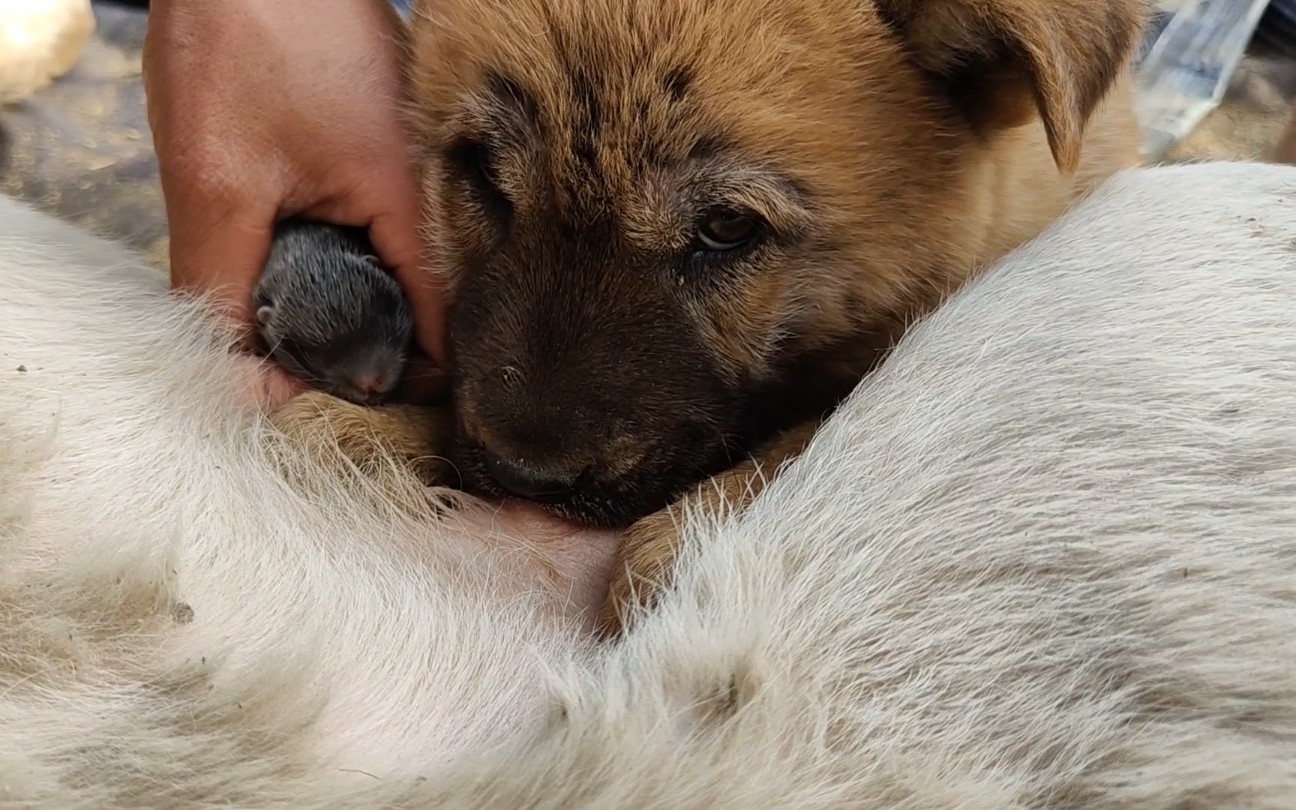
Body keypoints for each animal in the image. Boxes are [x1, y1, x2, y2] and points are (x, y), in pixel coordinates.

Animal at [273, 0, 1145, 632]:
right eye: (484, 172)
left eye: (727, 227)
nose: (526, 481)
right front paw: (369, 430)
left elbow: (802, 437)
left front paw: (674, 551)